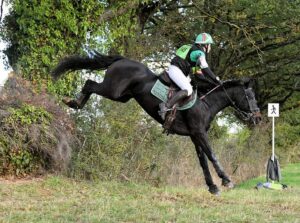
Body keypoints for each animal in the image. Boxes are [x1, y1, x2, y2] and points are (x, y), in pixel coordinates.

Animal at [51, 51, 260, 193]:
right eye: (249, 97)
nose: (258, 118)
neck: (205, 102)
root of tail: (122, 60)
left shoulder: (195, 135)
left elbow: (203, 161)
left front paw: (212, 187)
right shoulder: (199, 132)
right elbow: (212, 154)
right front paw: (226, 180)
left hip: (123, 97)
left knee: (91, 84)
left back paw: (74, 102)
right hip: (113, 90)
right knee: (89, 83)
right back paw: (74, 102)